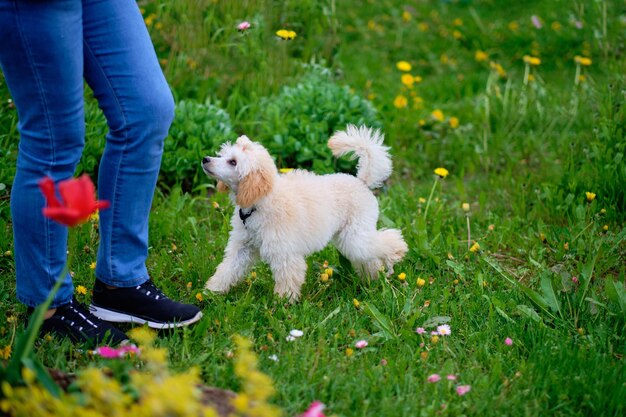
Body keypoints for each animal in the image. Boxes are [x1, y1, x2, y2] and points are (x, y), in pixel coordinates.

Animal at [200, 123, 404, 300]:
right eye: (223, 155)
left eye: (233, 162)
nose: (205, 159)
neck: (260, 203)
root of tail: (361, 181)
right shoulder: (243, 246)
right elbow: (228, 269)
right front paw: (211, 292)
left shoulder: (285, 252)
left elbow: (287, 277)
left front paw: (282, 302)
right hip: (348, 237)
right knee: (369, 258)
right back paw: (373, 278)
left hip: (356, 235)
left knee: (384, 241)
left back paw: (397, 252)